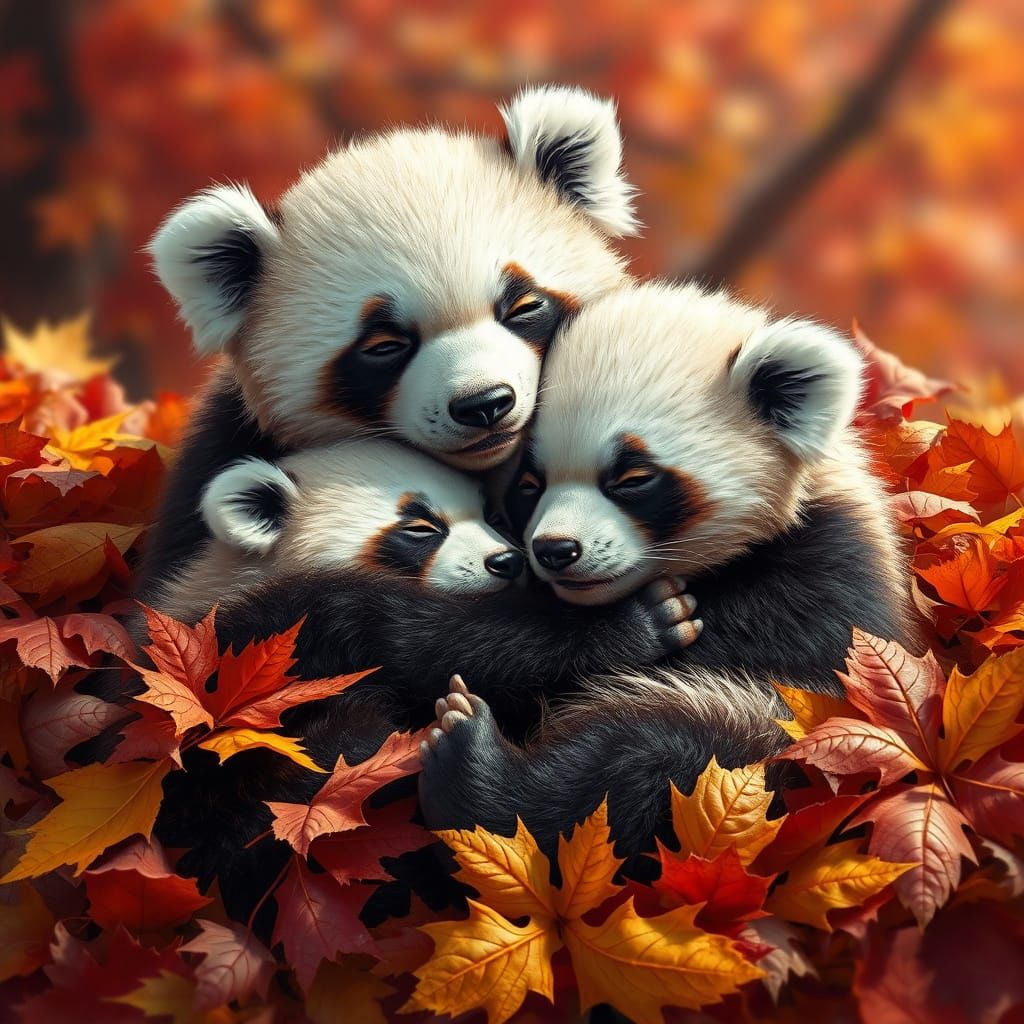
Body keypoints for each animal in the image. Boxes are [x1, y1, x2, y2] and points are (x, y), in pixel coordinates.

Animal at [413, 281, 917, 859]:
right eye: (529, 484)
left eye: (632, 478)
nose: (555, 550)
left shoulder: (822, 575)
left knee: (663, 755)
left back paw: (470, 762)